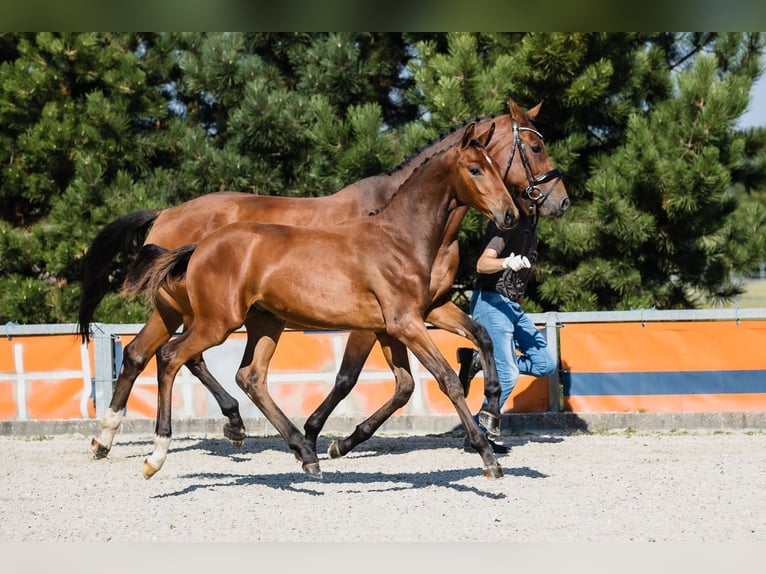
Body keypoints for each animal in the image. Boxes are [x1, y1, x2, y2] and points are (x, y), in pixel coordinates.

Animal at [82, 98, 568, 460]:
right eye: (535, 147)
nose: (559, 201)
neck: (404, 222)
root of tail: (165, 214)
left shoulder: (427, 307)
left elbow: (478, 338)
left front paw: (490, 410)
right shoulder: (382, 321)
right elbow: (351, 379)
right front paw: (322, 436)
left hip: (184, 310)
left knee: (144, 354)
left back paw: (112, 437)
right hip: (199, 311)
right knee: (174, 356)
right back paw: (225, 426)